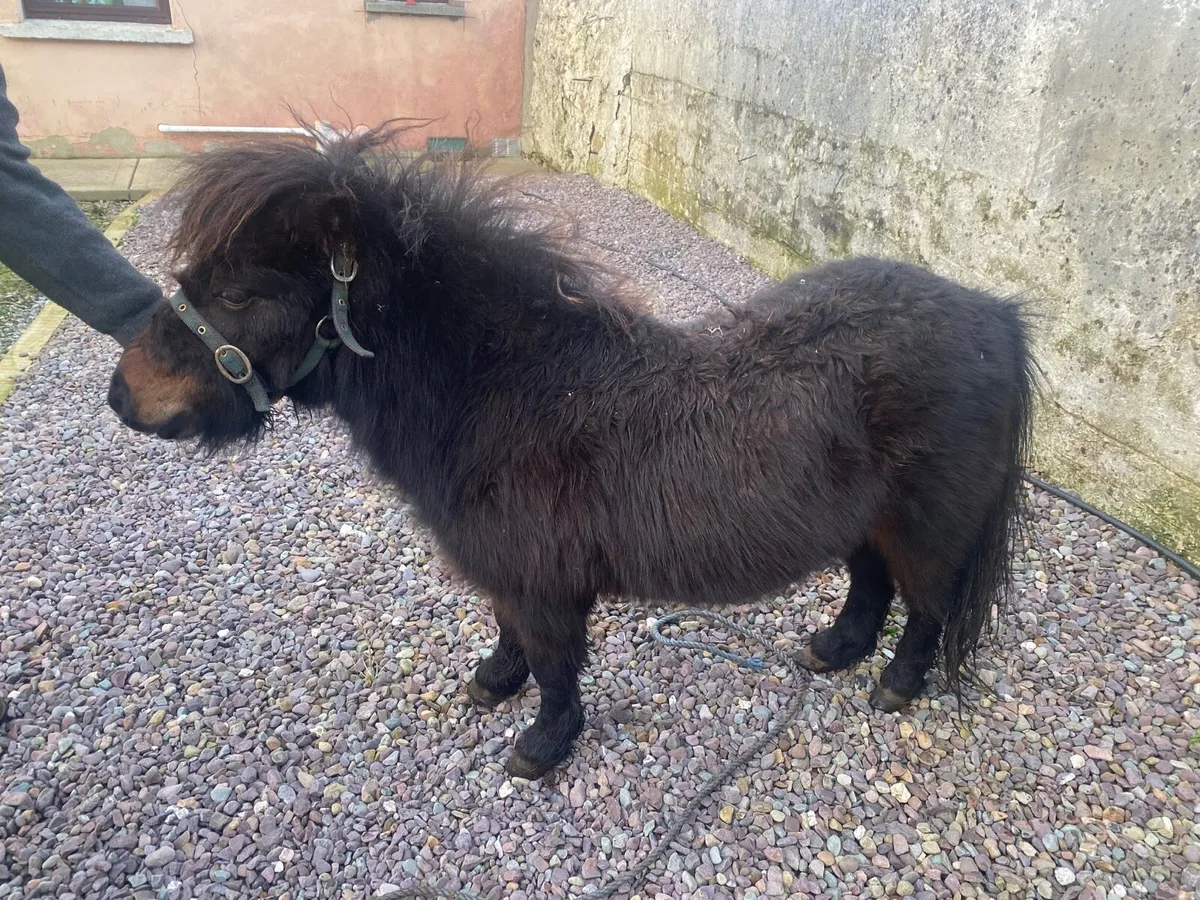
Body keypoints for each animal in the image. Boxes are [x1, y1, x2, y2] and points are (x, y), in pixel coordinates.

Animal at [106, 128, 1036, 780]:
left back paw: (896, 685)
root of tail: (994, 313)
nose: (122, 395)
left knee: (927, 605)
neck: (508, 390)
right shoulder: (509, 572)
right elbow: (509, 634)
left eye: (238, 290)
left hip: (927, 526)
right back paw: (835, 650)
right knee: (871, 585)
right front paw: (492, 681)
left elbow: (555, 668)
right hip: (866, 520)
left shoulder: (545, 582)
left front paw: (542, 747)